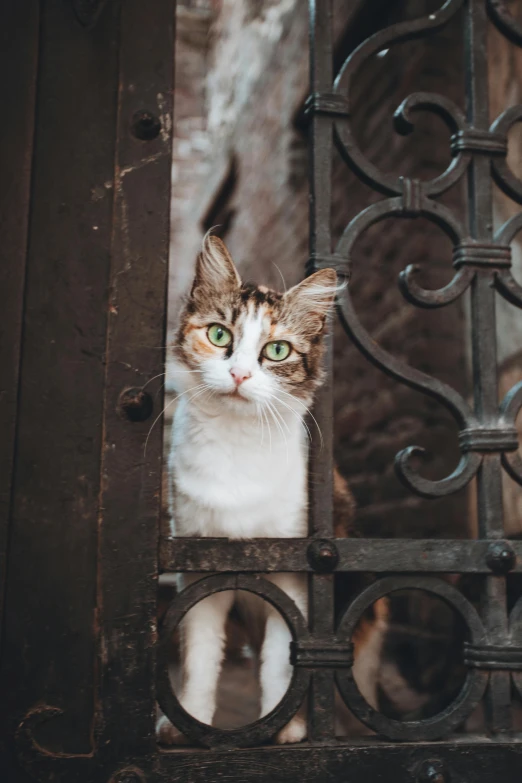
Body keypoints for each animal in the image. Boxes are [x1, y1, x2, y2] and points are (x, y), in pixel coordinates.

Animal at [156, 234, 384, 748]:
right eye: (219, 336)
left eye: (277, 350)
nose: (239, 375)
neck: (236, 440)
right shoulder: (198, 567)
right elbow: (200, 659)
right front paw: (189, 723)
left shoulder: (294, 572)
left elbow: (282, 664)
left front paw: (287, 728)